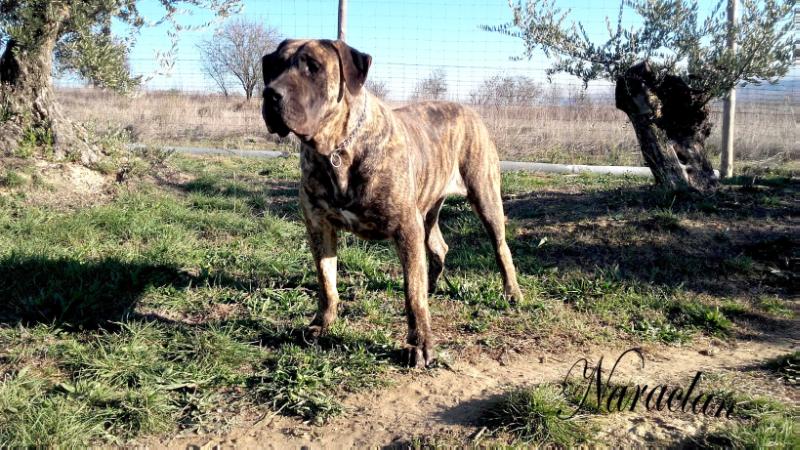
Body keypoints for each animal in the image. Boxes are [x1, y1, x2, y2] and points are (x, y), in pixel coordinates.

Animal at [262, 38, 524, 368]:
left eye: (314, 67)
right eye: (273, 66)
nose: (270, 93)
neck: (336, 149)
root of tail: (466, 109)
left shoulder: (405, 229)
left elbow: (412, 293)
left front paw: (420, 345)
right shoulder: (319, 227)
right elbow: (326, 281)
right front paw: (322, 325)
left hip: (484, 196)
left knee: (501, 248)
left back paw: (512, 292)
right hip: (427, 211)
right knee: (439, 247)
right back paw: (433, 285)